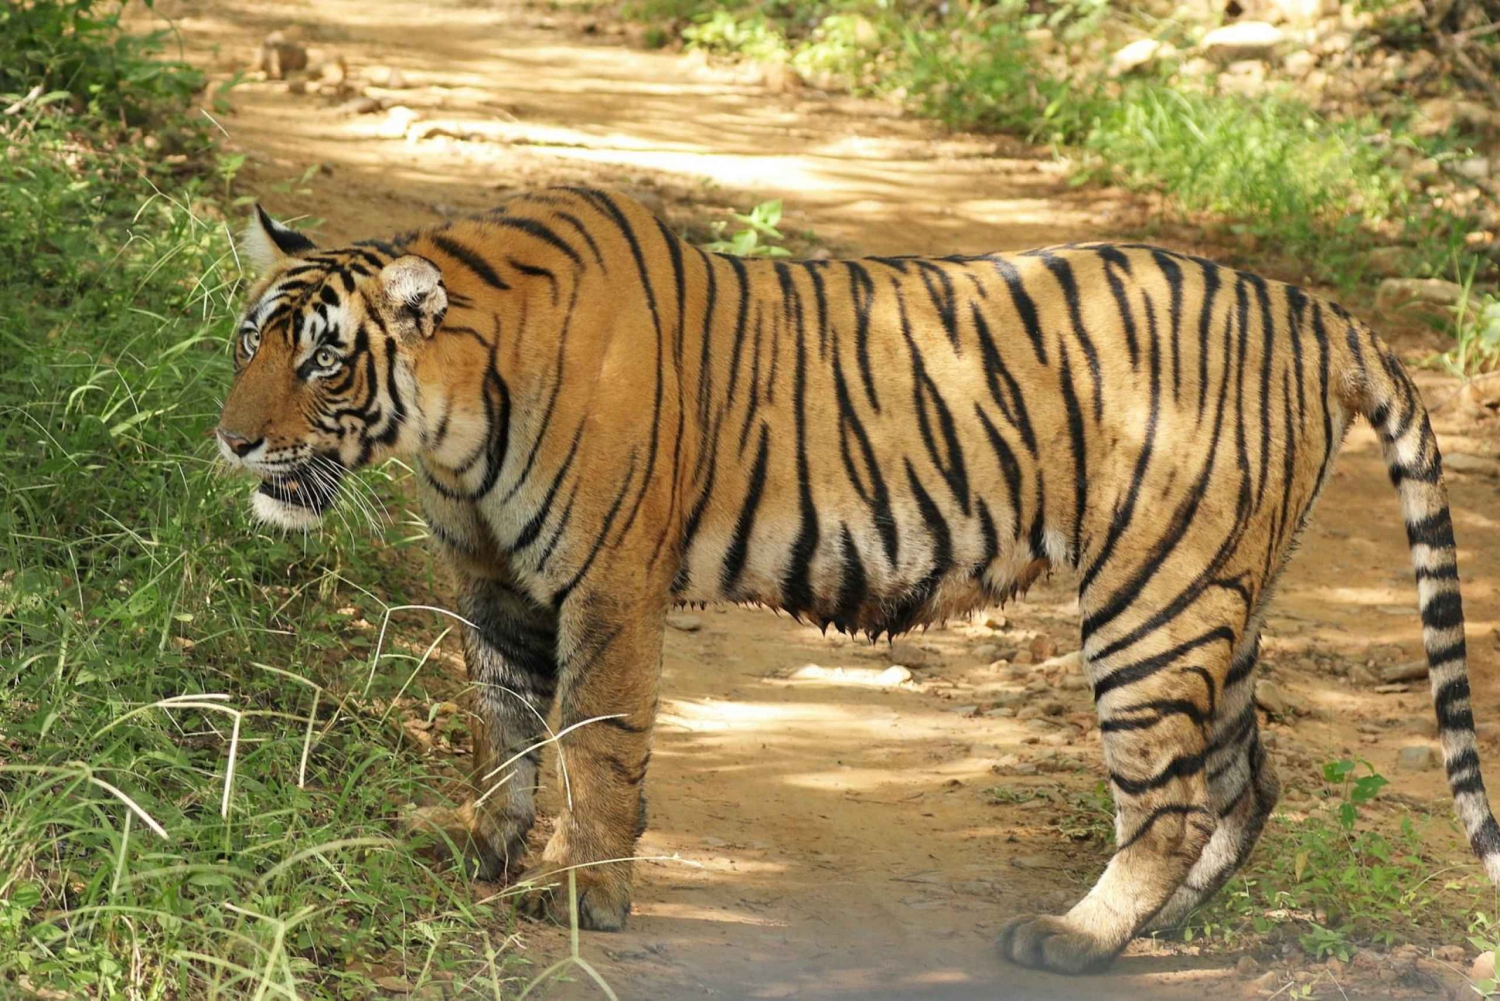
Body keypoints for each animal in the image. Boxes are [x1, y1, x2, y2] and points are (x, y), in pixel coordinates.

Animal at [214, 186, 1500, 972]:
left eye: (325, 360)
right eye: (247, 339)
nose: (231, 441)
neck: (445, 425)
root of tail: (1316, 313)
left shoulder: (608, 587)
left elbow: (597, 745)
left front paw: (588, 898)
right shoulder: (496, 585)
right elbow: (503, 730)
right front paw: (482, 850)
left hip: (1155, 595)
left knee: (1173, 795)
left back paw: (1076, 939)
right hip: (1216, 593)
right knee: (1244, 778)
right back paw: (1154, 932)